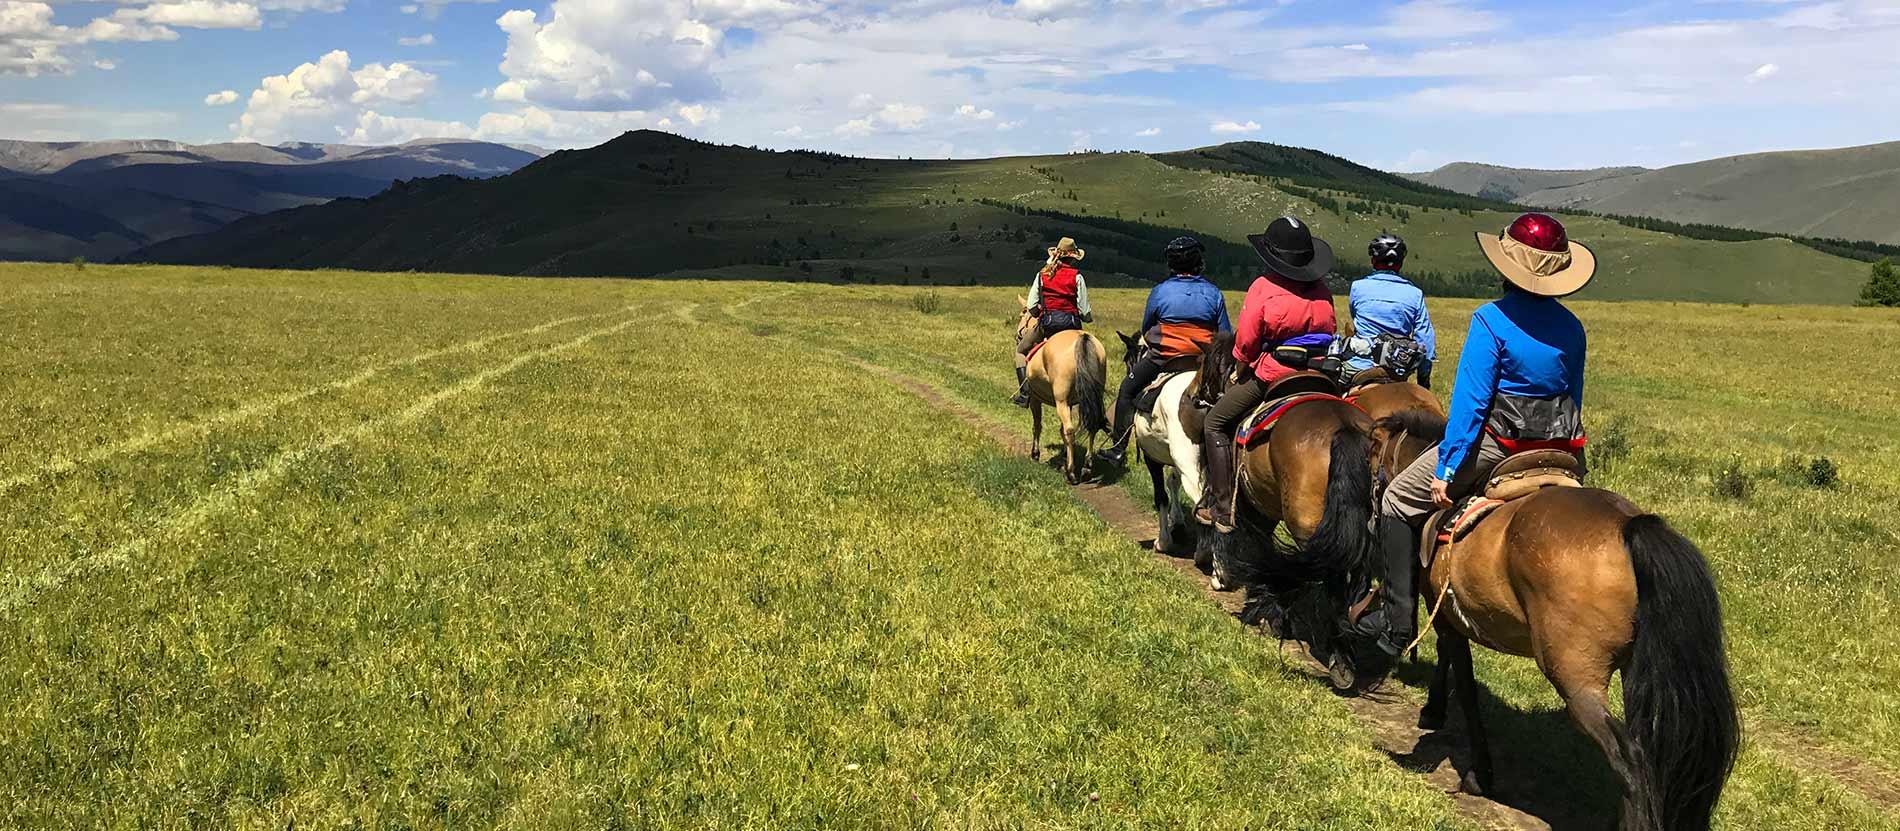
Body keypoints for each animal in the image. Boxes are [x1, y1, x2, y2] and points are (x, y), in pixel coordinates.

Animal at [1018, 298, 1109, 483]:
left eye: (1022, 315)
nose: (1018, 334)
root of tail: (1082, 339)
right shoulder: (1070, 402)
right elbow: (1060, 432)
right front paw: (1064, 457)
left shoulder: (1036, 398)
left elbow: (1037, 425)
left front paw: (1035, 454)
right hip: (1091, 396)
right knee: (1092, 425)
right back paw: (1086, 468)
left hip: (1060, 401)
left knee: (1069, 430)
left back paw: (1071, 473)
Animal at [1109, 330, 1200, 555]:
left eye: (1127, 359)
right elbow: (1173, 482)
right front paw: (1177, 522)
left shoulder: (1152, 457)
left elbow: (1161, 496)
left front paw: (1164, 541)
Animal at [1368, 412, 1740, 829]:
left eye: (1371, 454)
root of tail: (1629, 526)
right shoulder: (1449, 615)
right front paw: (1434, 712)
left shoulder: (1446, 617)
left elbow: (1465, 688)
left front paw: (1478, 773)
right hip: (1635, 672)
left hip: (1575, 676)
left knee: (1630, 759)